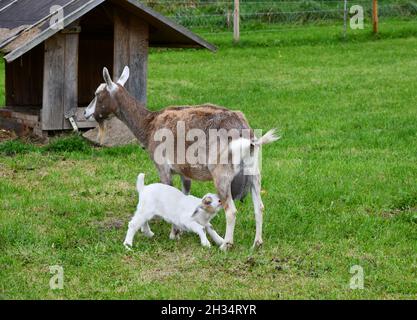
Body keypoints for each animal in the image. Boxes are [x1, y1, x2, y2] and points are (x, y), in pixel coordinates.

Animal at [85, 66, 278, 249]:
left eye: (97, 94)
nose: (86, 113)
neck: (149, 124)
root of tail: (246, 134)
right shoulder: (185, 171)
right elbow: (183, 194)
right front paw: (180, 230)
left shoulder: (162, 167)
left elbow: (168, 191)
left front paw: (173, 233)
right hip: (254, 171)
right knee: (259, 207)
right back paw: (257, 243)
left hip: (222, 173)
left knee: (230, 210)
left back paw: (226, 245)